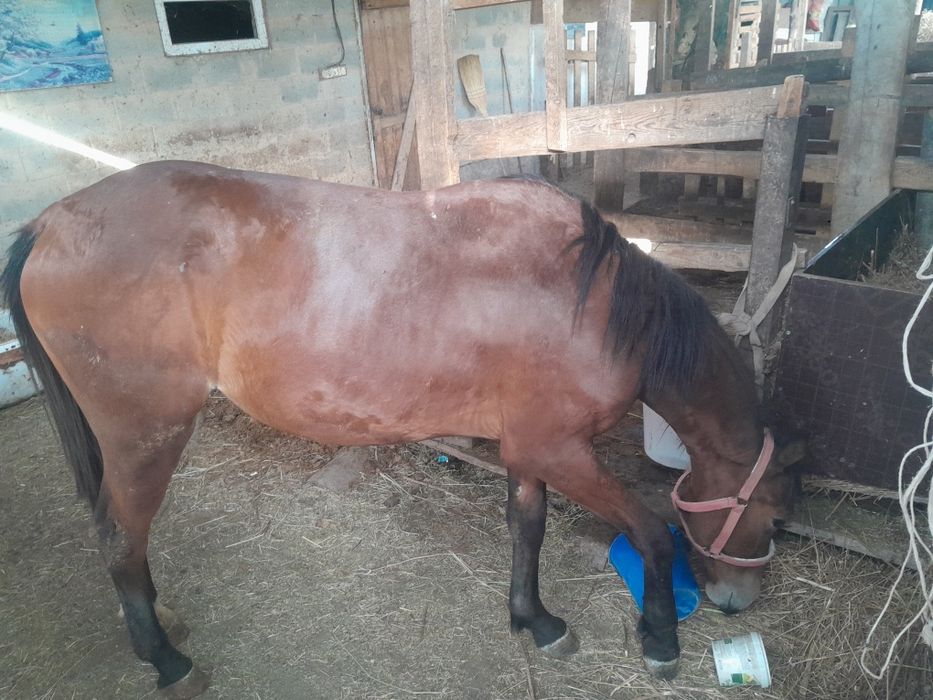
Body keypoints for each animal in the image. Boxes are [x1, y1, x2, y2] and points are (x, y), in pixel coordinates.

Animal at [1, 161, 802, 698]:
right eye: (774, 519)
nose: (736, 601)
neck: (592, 302)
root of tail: (52, 223)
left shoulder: (528, 447)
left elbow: (528, 527)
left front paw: (535, 620)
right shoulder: (561, 450)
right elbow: (649, 530)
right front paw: (659, 636)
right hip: (146, 435)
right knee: (118, 535)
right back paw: (165, 659)